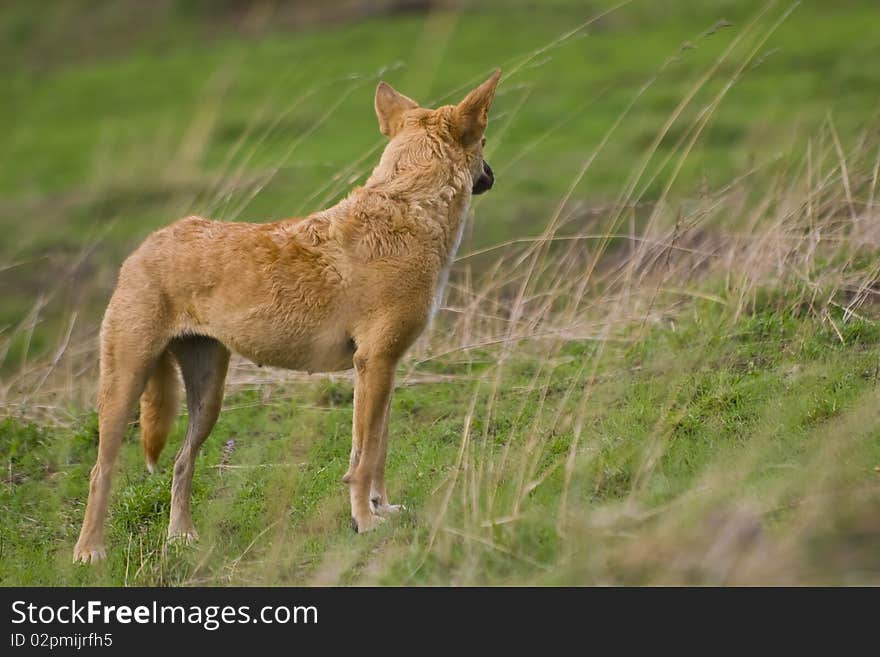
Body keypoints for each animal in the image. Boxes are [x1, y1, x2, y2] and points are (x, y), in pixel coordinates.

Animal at [74, 69, 502, 560]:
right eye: (484, 140)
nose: (492, 176)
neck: (409, 211)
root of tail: (146, 244)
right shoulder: (374, 363)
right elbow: (363, 460)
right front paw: (364, 522)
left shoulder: (385, 367)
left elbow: (375, 452)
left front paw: (383, 509)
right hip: (124, 388)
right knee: (100, 472)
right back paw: (89, 552)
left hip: (208, 399)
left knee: (181, 465)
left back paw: (182, 537)